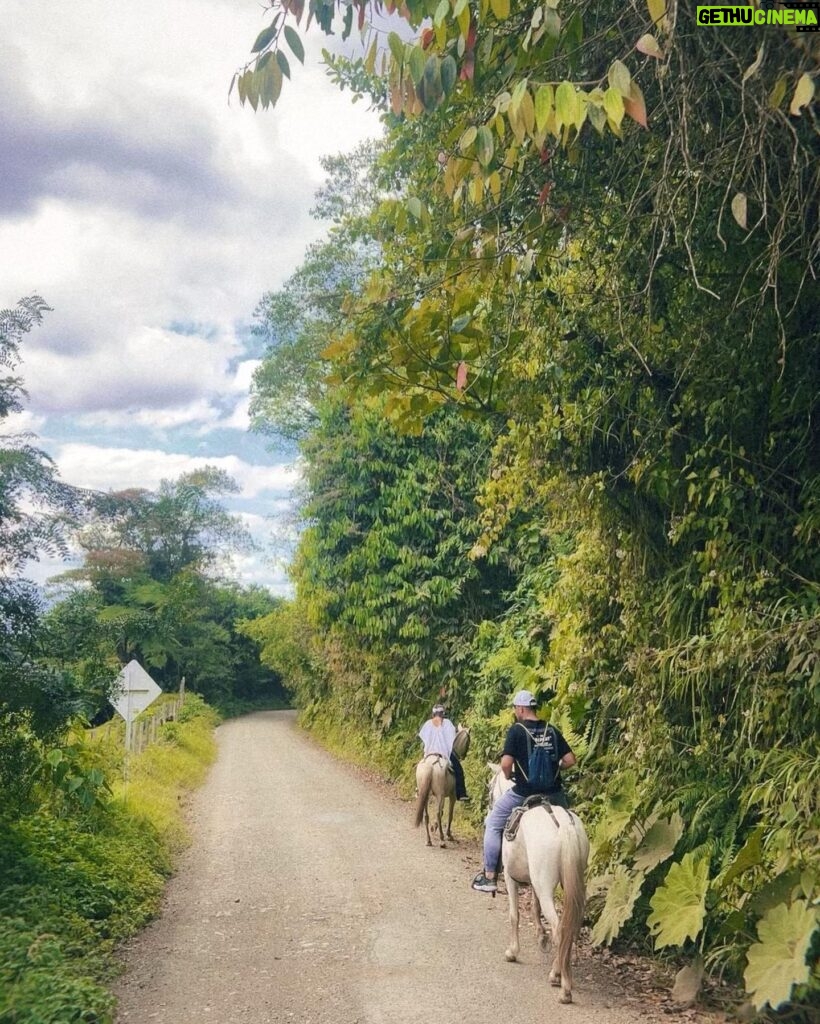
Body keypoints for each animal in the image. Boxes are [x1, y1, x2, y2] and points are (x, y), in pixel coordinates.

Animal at [487, 770, 589, 999]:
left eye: (489, 790)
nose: (489, 808)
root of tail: (564, 826)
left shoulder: (510, 878)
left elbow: (514, 915)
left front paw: (512, 952)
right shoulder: (535, 882)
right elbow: (534, 906)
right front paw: (541, 937)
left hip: (545, 886)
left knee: (559, 928)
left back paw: (560, 981)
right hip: (571, 883)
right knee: (569, 926)